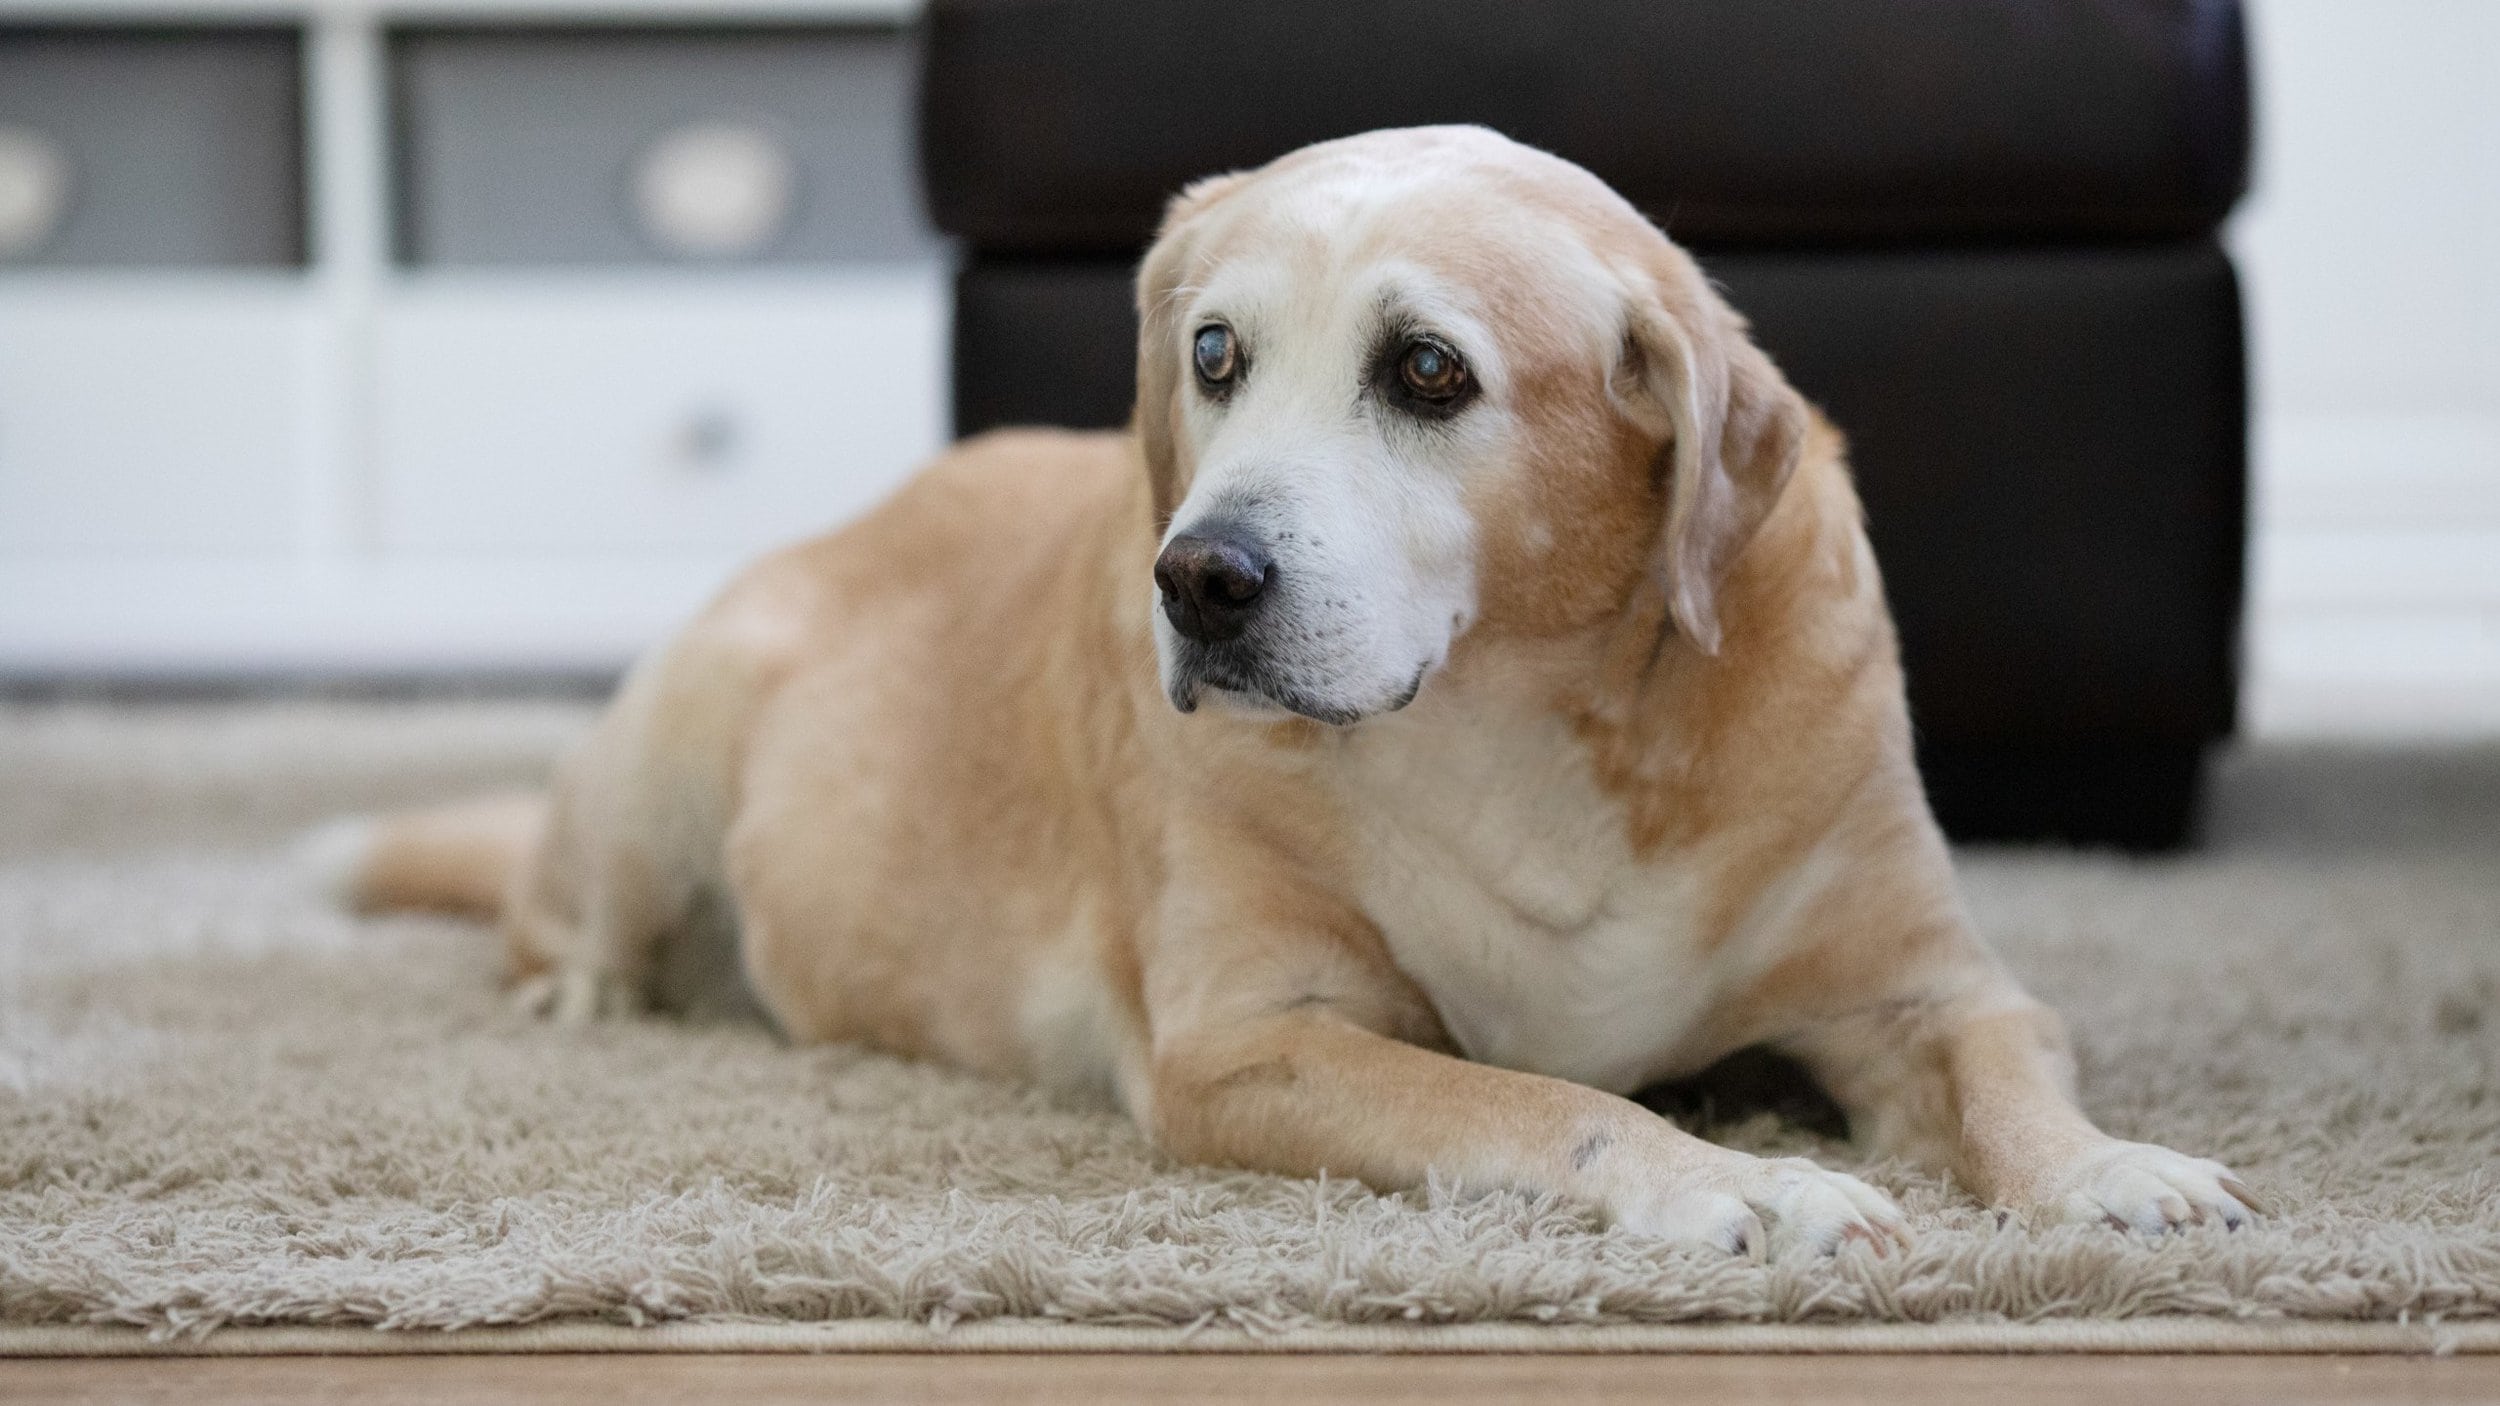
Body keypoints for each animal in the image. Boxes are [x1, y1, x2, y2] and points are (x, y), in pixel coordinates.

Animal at [322, 125, 2260, 1250]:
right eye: (1213, 353)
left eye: (1428, 371)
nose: (1197, 579)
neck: (1508, 723)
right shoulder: (1250, 1040)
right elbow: (1548, 1101)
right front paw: (1742, 1179)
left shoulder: (1926, 984)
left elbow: (2013, 1066)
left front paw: (2112, 1170)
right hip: (676, 736)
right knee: (561, 905)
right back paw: (589, 988)